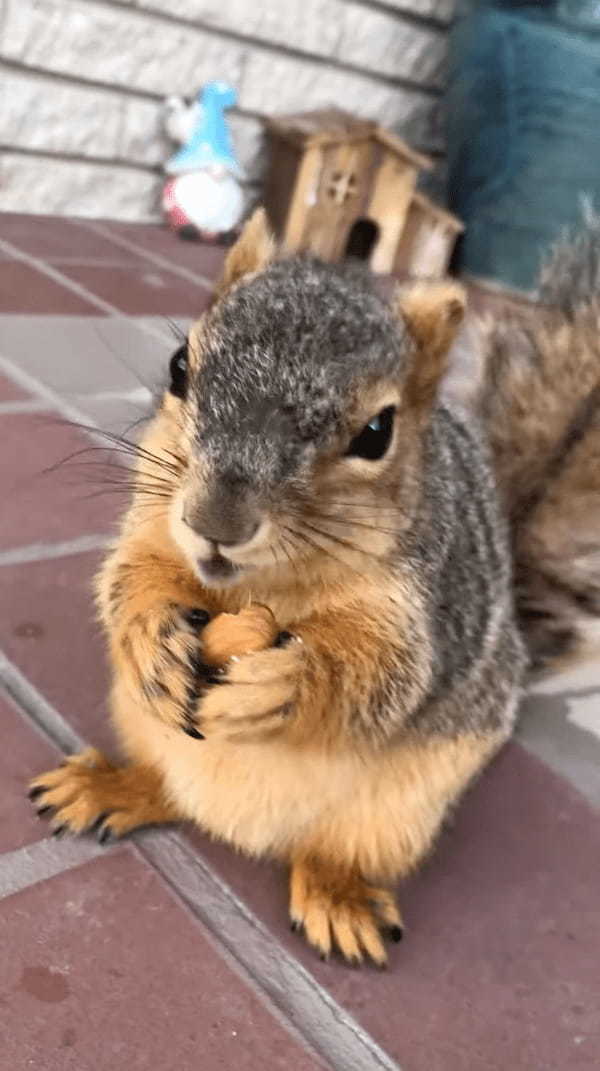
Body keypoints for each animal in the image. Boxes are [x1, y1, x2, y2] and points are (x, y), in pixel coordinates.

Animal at [30, 206, 600, 963]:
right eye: (180, 365)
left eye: (378, 432)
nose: (216, 521)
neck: (261, 588)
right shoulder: (153, 519)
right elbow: (130, 575)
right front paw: (150, 636)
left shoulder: (424, 607)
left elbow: (384, 675)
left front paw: (285, 680)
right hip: (143, 727)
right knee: (163, 786)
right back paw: (113, 785)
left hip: (400, 812)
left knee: (333, 853)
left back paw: (339, 898)